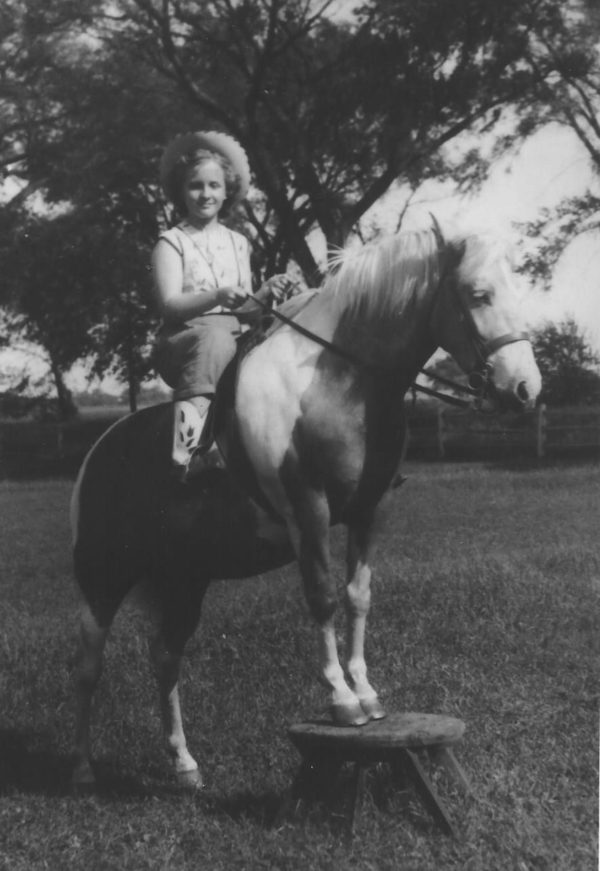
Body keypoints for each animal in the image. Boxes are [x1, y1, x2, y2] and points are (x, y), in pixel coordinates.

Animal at [68, 220, 540, 792]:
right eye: (477, 294)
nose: (525, 388)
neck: (337, 382)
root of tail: (100, 450)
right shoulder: (307, 511)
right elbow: (322, 599)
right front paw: (341, 700)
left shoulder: (370, 512)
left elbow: (358, 597)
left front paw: (367, 693)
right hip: (103, 578)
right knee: (88, 666)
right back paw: (83, 768)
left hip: (185, 579)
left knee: (165, 658)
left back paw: (183, 764)